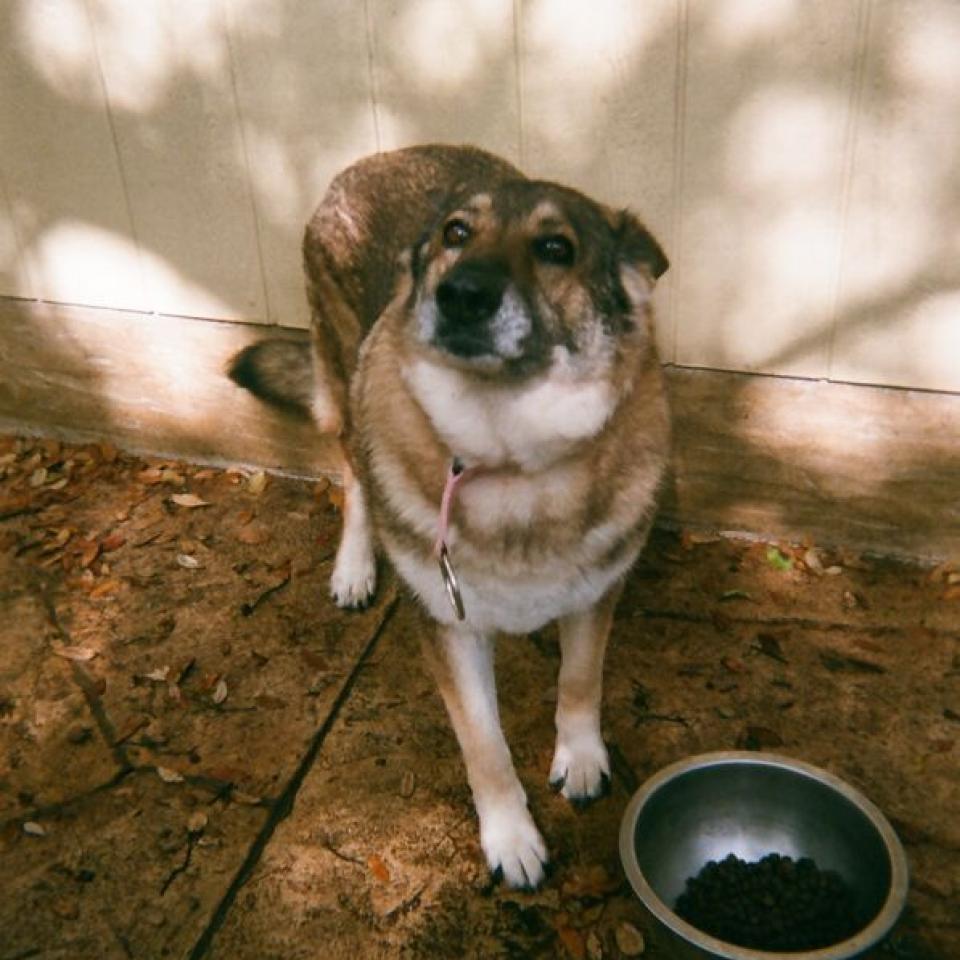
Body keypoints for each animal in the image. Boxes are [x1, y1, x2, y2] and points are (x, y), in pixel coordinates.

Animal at [230, 146, 672, 888]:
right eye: (457, 235)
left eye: (556, 248)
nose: (461, 294)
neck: (509, 455)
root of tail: (368, 162)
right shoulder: (450, 630)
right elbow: (484, 745)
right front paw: (510, 837)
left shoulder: (596, 595)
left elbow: (580, 681)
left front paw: (580, 757)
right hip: (346, 384)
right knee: (354, 473)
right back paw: (354, 565)